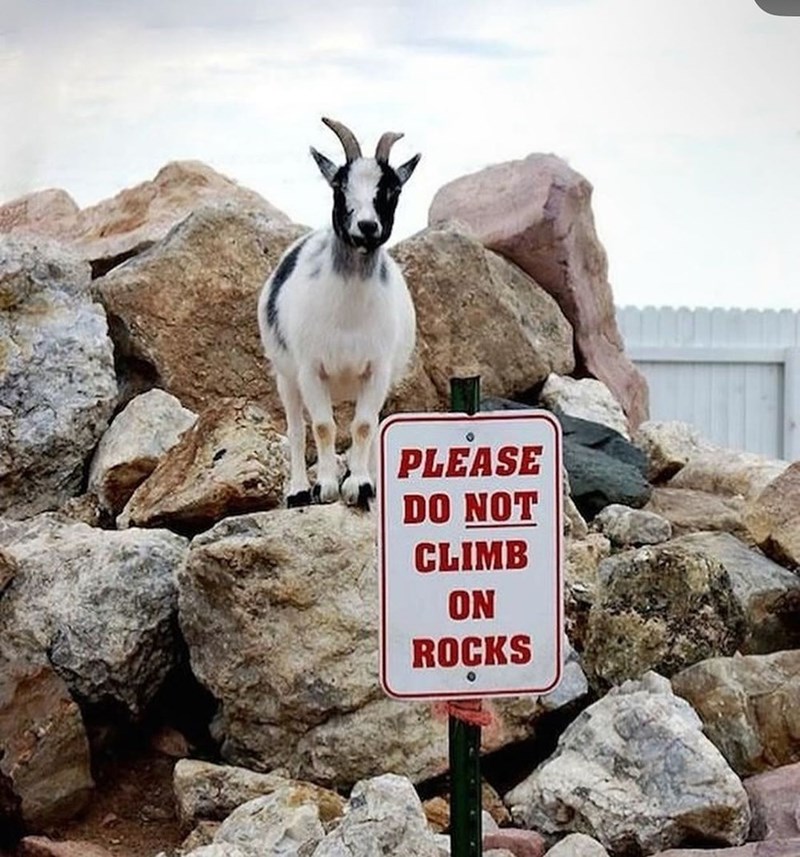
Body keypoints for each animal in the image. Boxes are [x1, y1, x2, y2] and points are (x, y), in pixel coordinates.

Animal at [258, 118, 422, 508]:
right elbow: (321, 427)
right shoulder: (310, 369)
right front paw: (326, 487)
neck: (349, 315)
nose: (366, 226)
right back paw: (298, 490)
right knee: (296, 429)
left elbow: (363, 426)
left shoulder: (377, 370)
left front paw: (359, 485)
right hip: (285, 376)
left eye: (393, 189)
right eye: (339, 185)